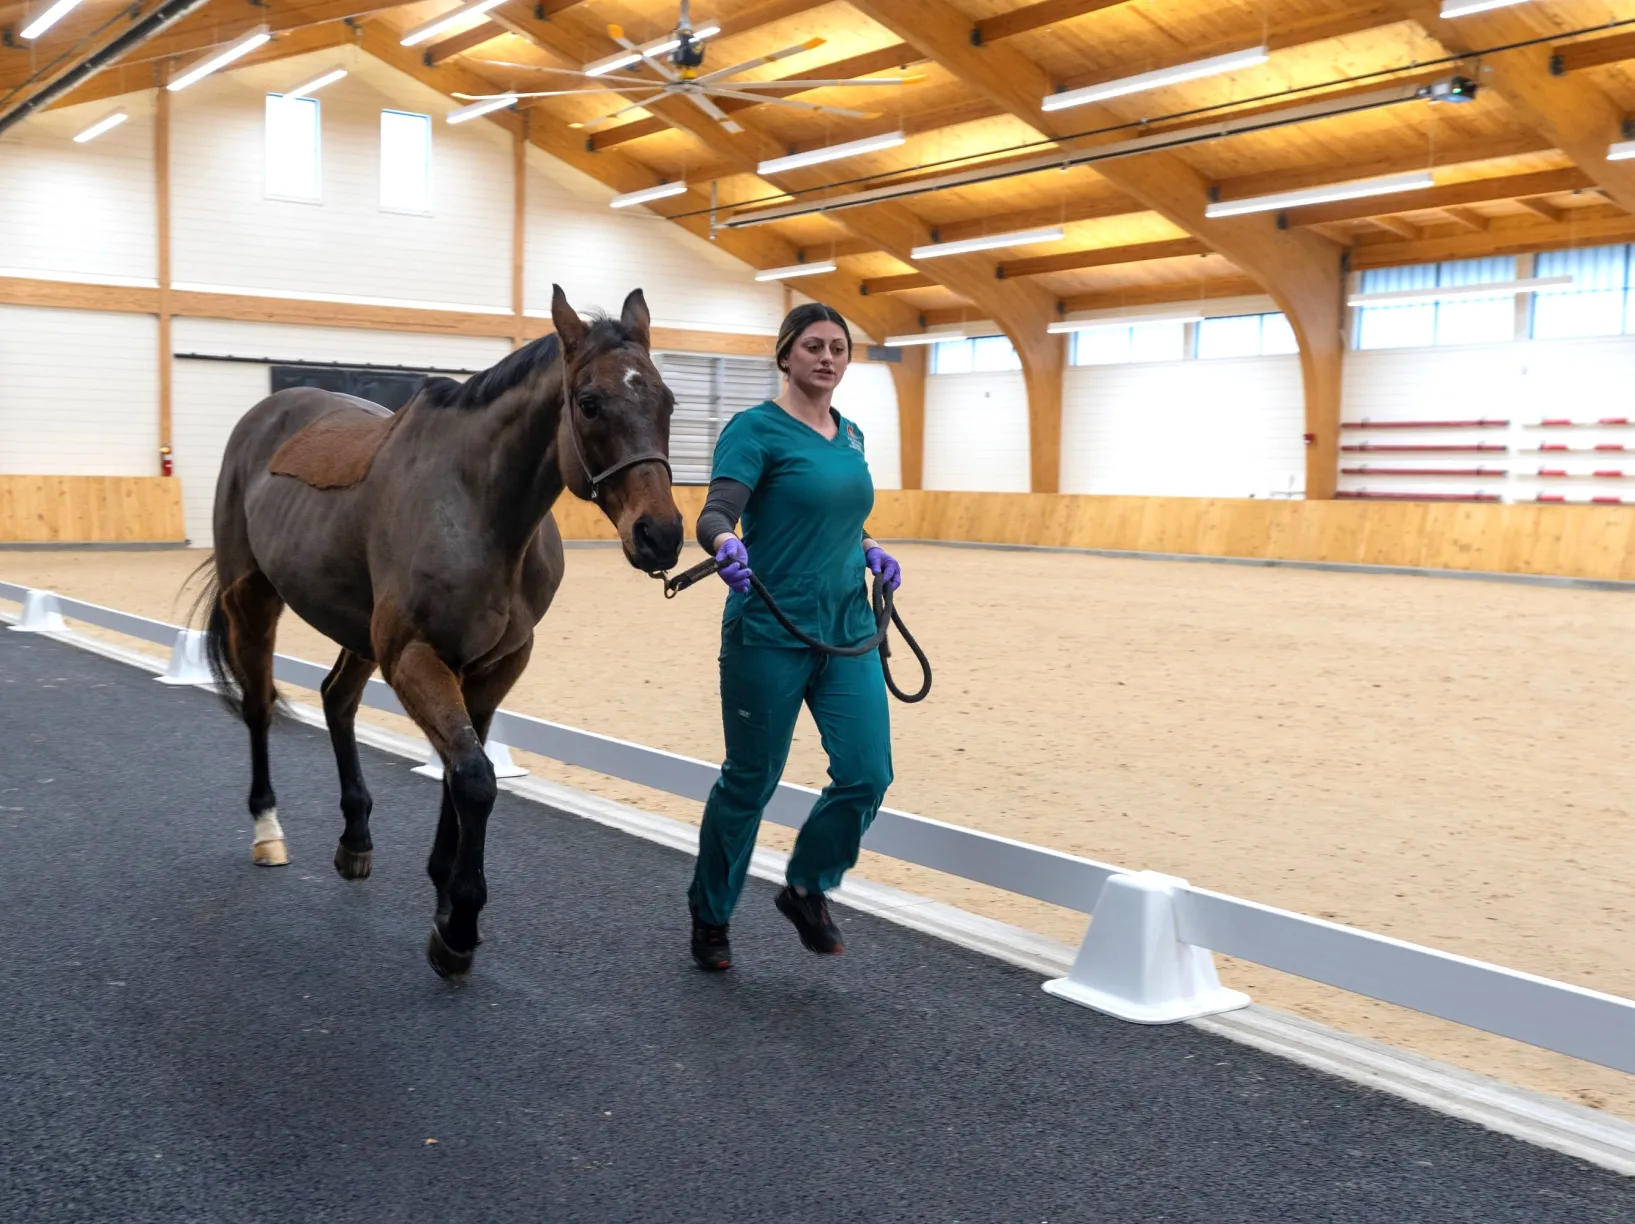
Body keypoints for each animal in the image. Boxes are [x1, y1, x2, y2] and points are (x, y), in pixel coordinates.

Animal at [199, 284, 683, 973]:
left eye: (666, 401)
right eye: (589, 403)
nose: (661, 534)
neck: (480, 508)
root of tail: (264, 413)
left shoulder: (494, 665)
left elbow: (463, 769)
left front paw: (444, 892)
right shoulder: (414, 656)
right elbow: (474, 779)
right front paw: (459, 924)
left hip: (357, 631)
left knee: (336, 700)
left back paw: (356, 838)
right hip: (255, 599)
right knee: (260, 704)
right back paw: (268, 830)